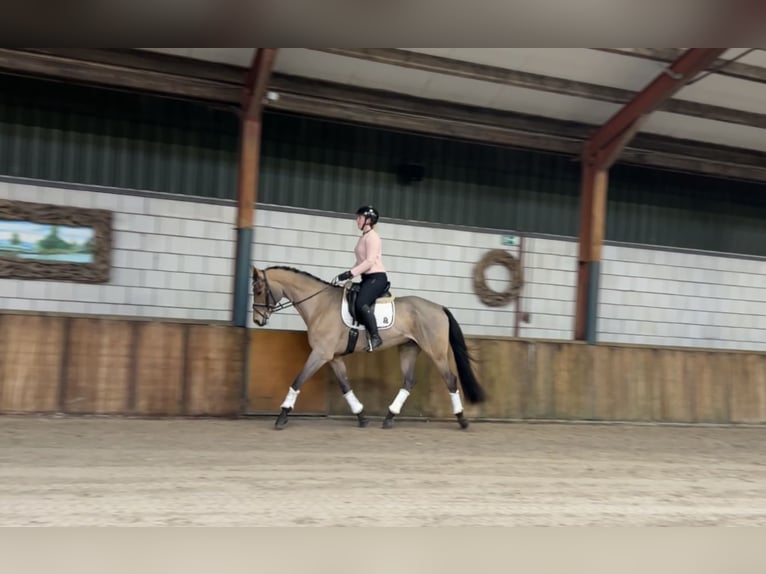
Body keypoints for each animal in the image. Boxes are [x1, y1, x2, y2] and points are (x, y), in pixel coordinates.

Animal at [252, 266, 488, 432]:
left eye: (260, 290)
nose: (257, 320)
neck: (320, 304)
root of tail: (439, 308)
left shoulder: (320, 354)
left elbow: (298, 380)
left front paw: (282, 416)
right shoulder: (333, 357)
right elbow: (345, 386)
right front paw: (361, 416)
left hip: (435, 352)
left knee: (450, 380)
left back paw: (462, 420)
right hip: (408, 349)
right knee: (409, 381)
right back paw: (389, 418)